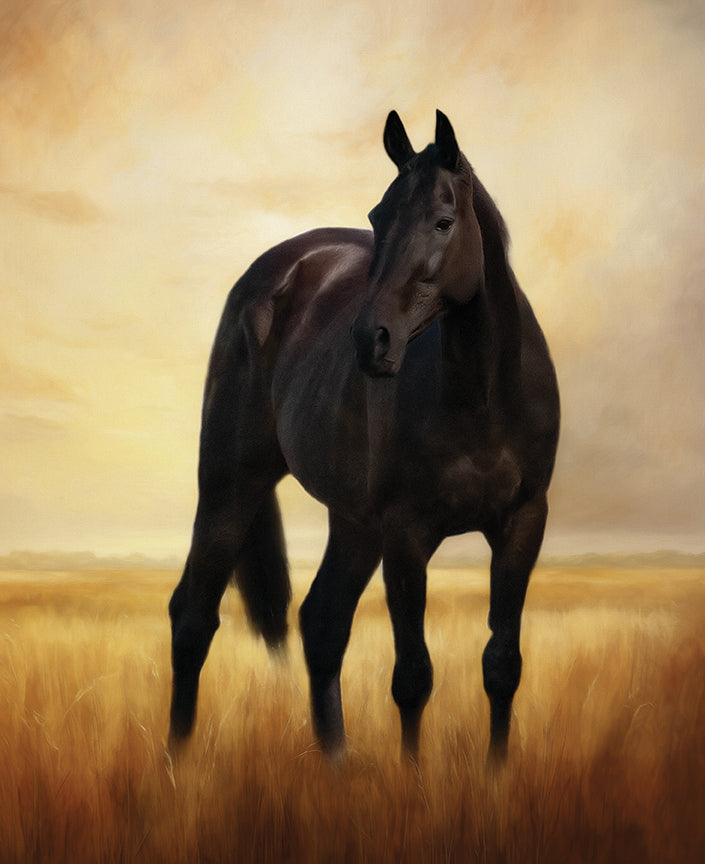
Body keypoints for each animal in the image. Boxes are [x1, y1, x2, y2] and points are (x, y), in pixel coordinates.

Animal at [168, 110, 560, 764]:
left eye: (444, 221)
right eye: (378, 217)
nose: (370, 340)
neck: (480, 396)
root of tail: (274, 271)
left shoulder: (523, 523)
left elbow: (502, 664)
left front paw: (496, 776)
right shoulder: (406, 532)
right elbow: (413, 677)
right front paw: (413, 781)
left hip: (353, 522)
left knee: (321, 621)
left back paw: (338, 765)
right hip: (231, 482)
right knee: (193, 615)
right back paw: (176, 763)